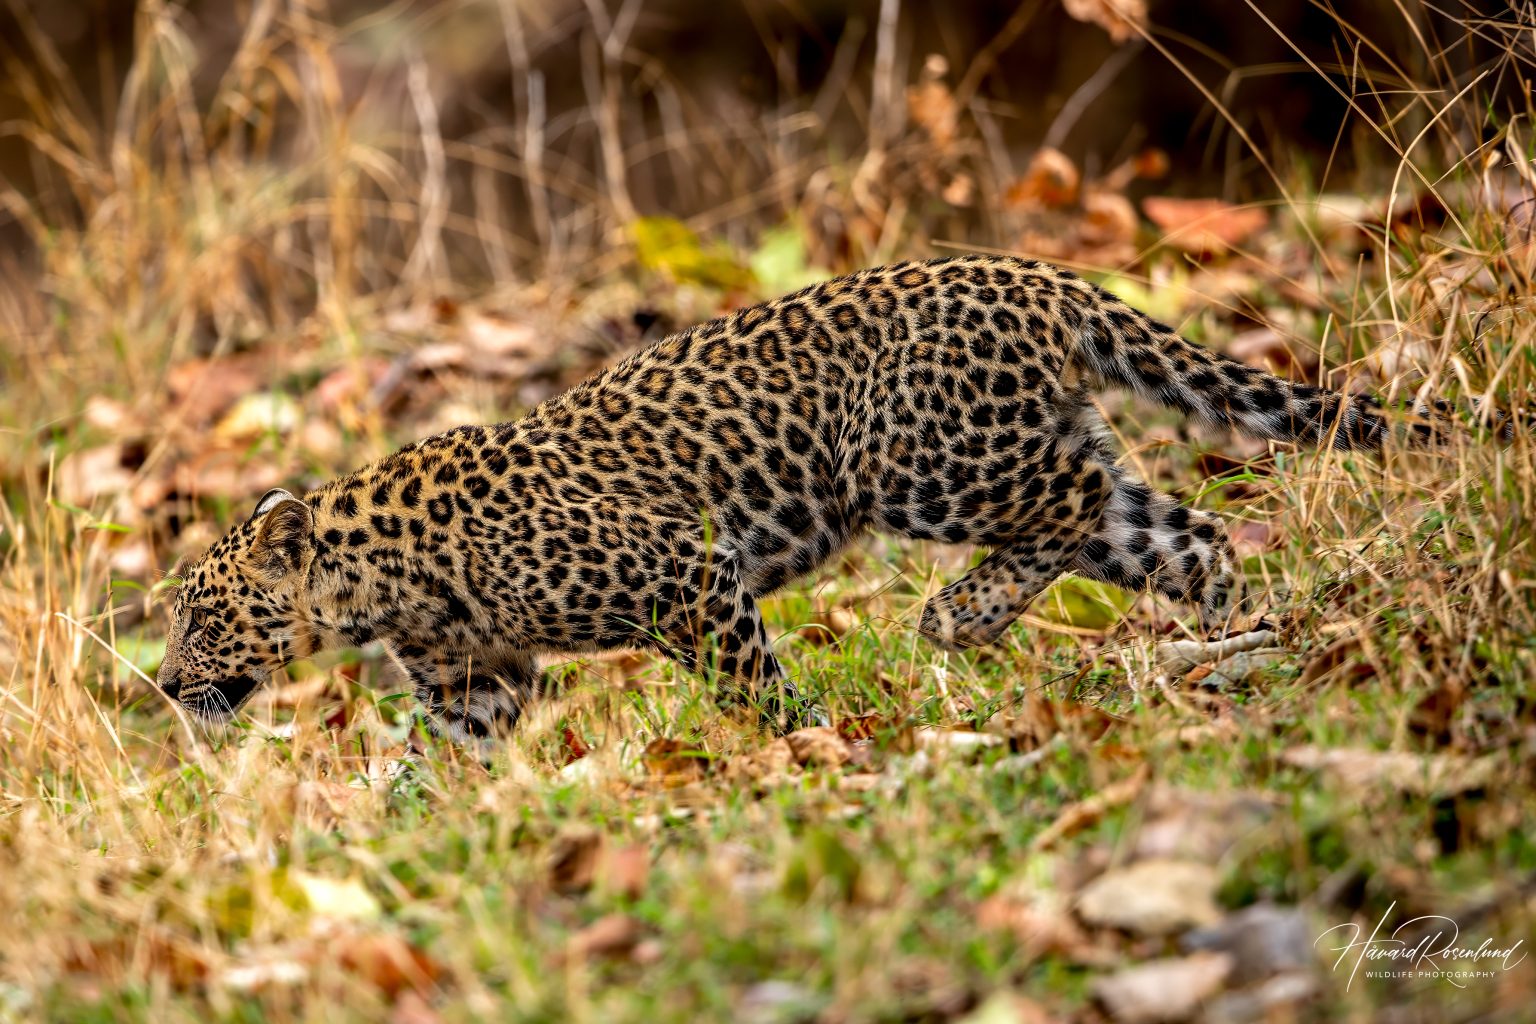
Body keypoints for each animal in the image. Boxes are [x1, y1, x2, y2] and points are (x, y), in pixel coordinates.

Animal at [157, 253, 1408, 744]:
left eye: (205, 616)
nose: (166, 685)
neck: (378, 585)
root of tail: (1038, 274)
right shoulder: (479, 683)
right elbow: (443, 762)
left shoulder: (687, 578)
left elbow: (752, 684)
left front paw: (805, 744)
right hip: (1025, 455)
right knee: (1170, 529)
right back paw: (1238, 639)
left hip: (922, 461)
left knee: (1073, 498)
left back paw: (957, 617)